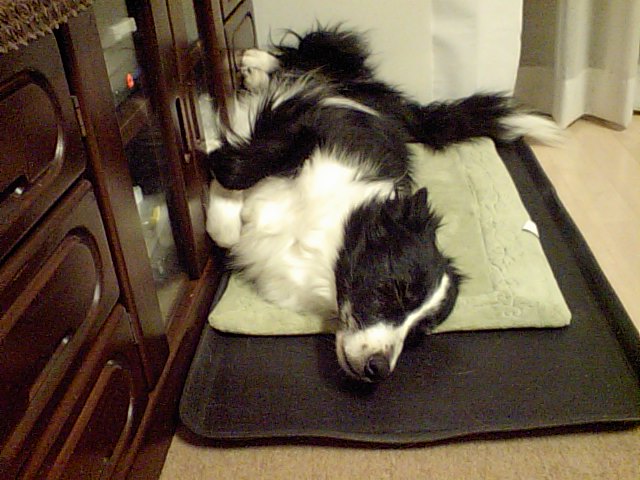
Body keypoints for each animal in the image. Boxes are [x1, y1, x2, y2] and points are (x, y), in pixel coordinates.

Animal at [203, 27, 560, 383]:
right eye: (394, 290)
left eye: (417, 333)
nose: (379, 369)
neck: (322, 237)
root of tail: (401, 107)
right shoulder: (305, 123)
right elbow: (236, 181)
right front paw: (221, 192)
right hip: (338, 52)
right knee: (303, 54)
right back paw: (254, 63)